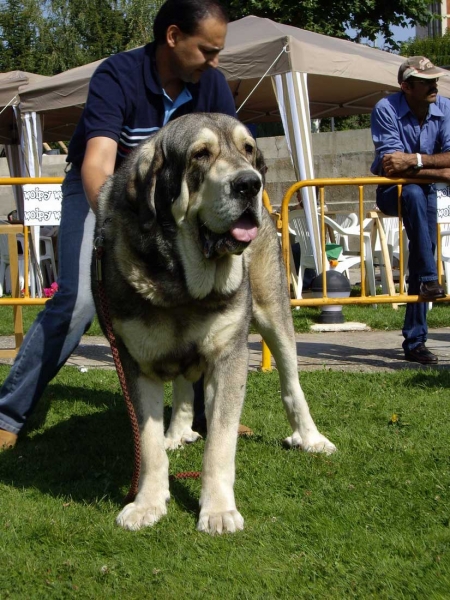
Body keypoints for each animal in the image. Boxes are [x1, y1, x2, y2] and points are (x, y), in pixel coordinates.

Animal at [93, 112, 336, 536]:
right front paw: (147, 503)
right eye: (200, 154)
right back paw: (177, 431)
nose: (249, 184)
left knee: (292, 383)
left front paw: (218, 510)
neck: (183, 284)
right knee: (182, 388)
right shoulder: (134, 364)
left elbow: (220, 445)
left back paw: (310, 437)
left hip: (273, 312)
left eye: (248, 149)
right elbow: (149, 445)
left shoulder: (228, 359)